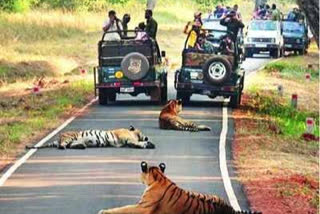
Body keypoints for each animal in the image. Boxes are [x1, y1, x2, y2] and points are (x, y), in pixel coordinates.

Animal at [99, 161, 262, 214]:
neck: (159, 177)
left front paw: (104, 211)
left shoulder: (143, 207)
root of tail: (230, 209)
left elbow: (123, 209)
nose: (139, 178)